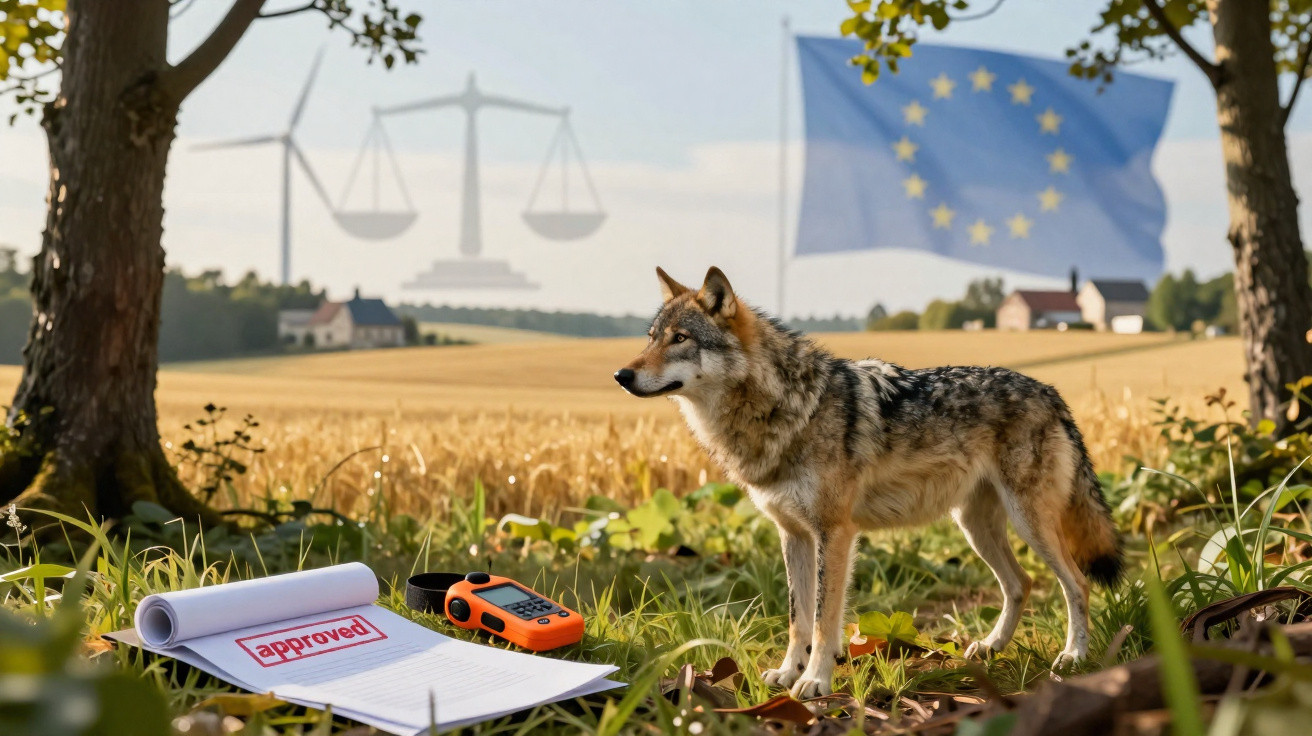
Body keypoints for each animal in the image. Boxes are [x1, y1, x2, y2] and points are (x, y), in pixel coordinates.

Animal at [614, 266, 1123, 699]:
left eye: (680, 339)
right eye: (651, 339)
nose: (621, 374)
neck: (785, 408)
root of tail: (1052, 393)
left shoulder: (834, 533)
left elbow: (824, 619)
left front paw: (815, 682)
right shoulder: (793, 535)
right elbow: (798, 619)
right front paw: (787, 672)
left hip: (1028, 524)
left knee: (1077, 584)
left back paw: (1074, 656)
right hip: (976, 528)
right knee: (1021, 584)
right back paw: (990, 647)